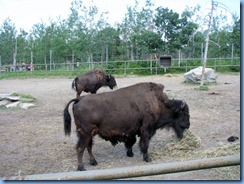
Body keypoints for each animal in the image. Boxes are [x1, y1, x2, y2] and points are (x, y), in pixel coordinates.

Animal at [63, 82, 191, 171]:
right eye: (184, 113)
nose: (188, 125)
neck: (158, 102)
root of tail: (79, 99)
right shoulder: (146, 130)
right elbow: (144, 144)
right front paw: (147, 158)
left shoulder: (133, 131)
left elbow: (131, 142)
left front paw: (130, 154)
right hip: (85, 134)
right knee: (80, 148)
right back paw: (81, 167)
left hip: (89, 134)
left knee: (88, 147)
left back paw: (93, 162)